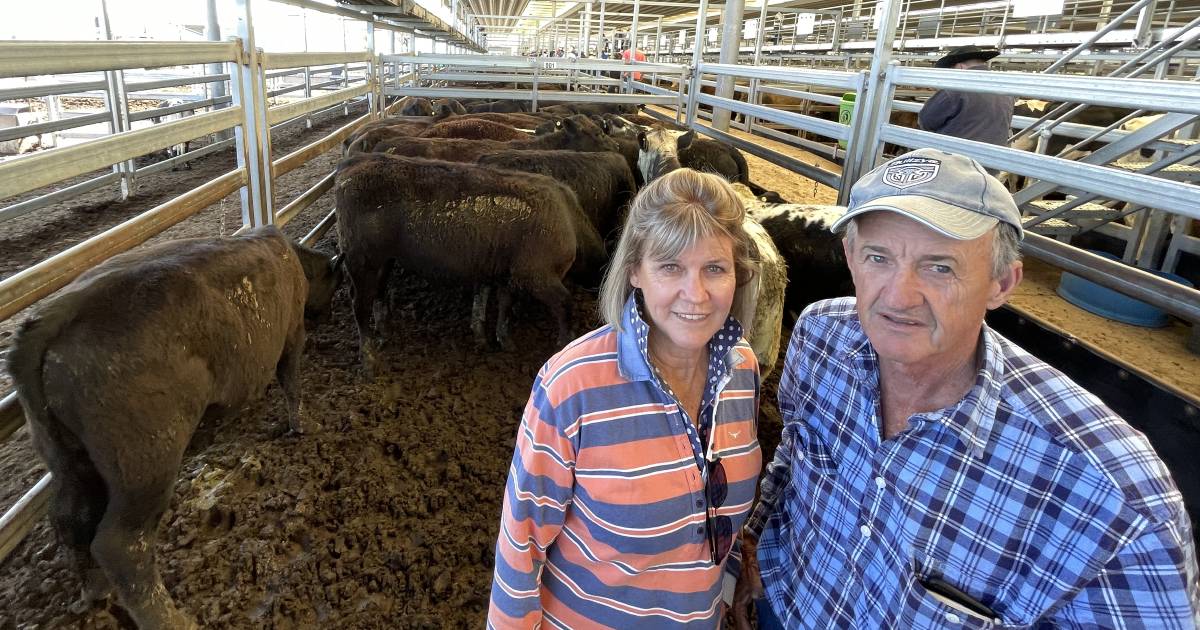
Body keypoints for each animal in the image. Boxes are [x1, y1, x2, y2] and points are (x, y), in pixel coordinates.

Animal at [8, 225, 343, 628]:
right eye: (333, 283)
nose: (329, 312)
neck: (288, 256)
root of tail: (53, 317)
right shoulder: (293, 333)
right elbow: (292, 382)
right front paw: (302, 425)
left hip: (70, 462)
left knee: (71, 520)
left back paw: (94, 592)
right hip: (146, 467)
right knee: (122, 546)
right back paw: (172, 619)